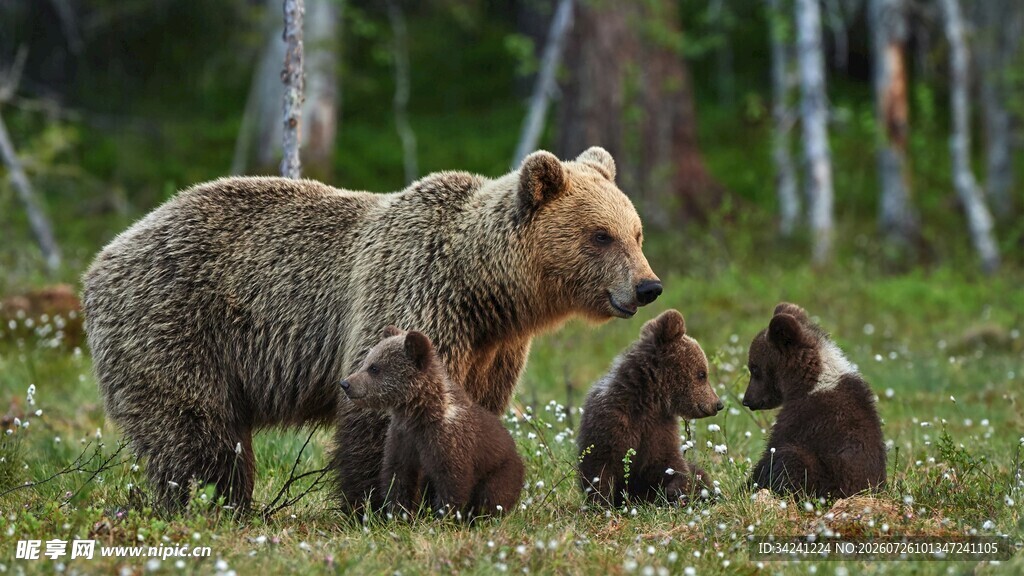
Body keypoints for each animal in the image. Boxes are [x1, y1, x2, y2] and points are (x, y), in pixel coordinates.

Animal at [341, 326, 524, 519]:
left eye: (374, 368)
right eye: (367, 361)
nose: (345, 383)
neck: (419, 413)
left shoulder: (448, 441)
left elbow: (452, 482)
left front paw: (444, 517)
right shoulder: (401, 438)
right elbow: (398, 477)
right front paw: (398, 514)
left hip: (501, 470)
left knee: (492, 495)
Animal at [577, 309, 723, 507]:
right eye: (702, 374)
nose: (718, 404)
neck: (648, 401)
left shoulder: (660, 429)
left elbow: (670, 464)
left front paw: (677, 491)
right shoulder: (611, 421)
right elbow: (599, 467)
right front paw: (600, 503)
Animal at [743, 302, 886, 498]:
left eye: (755, 368)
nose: (747, 400)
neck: (810, 382)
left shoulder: (805, 418)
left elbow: (773, 449)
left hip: (826, 480)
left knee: (791, 457)